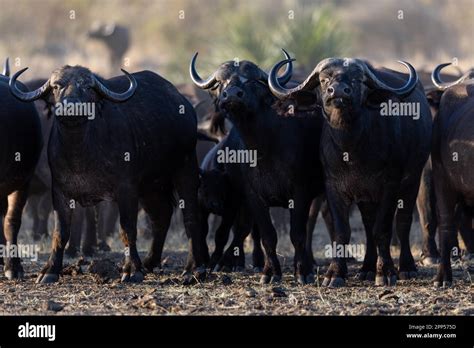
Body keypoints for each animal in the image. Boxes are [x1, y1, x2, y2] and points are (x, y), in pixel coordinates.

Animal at [9, 64, 206, 282]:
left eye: (87, 87)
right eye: (56, 86)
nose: (71, 107)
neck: (80, 151)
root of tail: (183, 104)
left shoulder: (126, 189)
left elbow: (127, 229)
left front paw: (131, 270)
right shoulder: (59, 191)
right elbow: (60, 232)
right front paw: (50, 270)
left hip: (185, 169)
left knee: (190, 216)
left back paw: (193, 268)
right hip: (150, 186)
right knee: (161, 216)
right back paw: (150, 262)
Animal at [268, 56, 432, 286]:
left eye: (357, 79)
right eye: (324, 79)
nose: (337, 91)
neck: (352, 150)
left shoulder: (390, 186)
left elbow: (383, 230)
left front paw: (386, 272)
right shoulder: (334, 187)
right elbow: (342, 231)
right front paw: (335, 274)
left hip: (413, 180)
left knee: (403, 221)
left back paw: (407, 267)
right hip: (366, 197)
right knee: (368, 225)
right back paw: (367, 268)